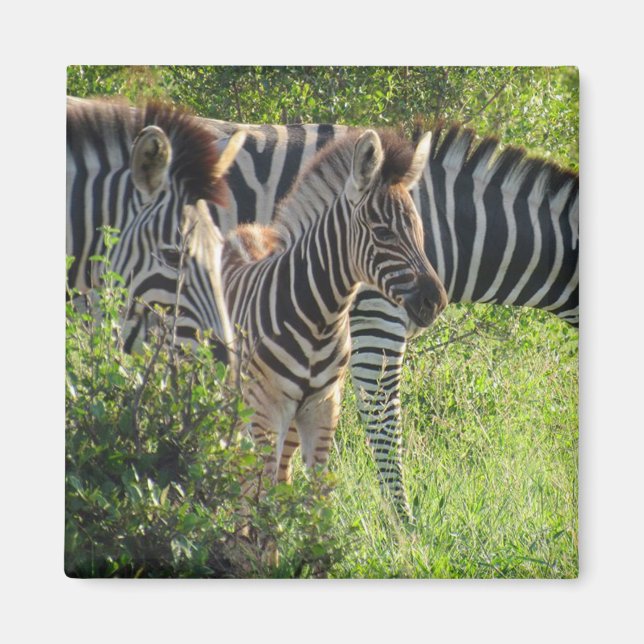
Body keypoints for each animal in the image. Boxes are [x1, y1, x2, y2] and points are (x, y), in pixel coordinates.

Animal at [198, 128, 447, 487]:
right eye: (383, 233)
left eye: (419, 229)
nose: (436, 301)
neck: (320, 318)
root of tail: (242, 230)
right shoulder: (267, 406)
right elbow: (260, 486)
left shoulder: (323, 407)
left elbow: (315, 490)